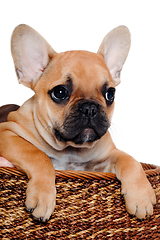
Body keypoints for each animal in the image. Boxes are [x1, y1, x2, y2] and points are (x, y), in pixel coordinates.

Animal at [0, 24, 156, 221]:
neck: (70, 150)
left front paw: (141, 196)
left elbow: (129, 160)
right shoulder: (7, 133)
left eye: (110, 94)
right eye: (59, 92)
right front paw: (43, 196)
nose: (90, 108)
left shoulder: (105, 158)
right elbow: (37, 155)